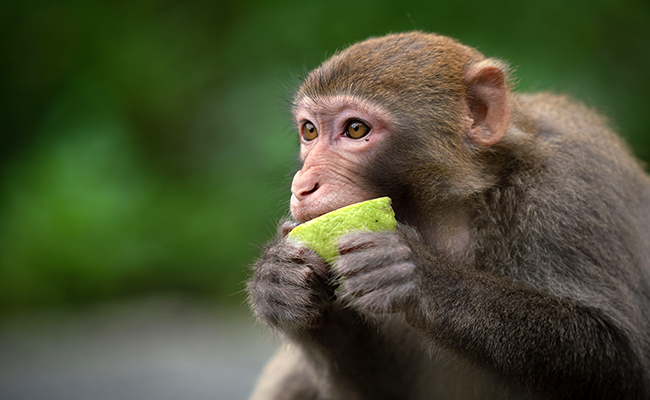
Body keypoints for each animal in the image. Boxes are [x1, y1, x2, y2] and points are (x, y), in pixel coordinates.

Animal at [244, 32, 648, 400]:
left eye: (355, 129)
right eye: (309, 130)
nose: (302, 185)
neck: (454, 212)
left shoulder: (573, 190)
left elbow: (623, 359)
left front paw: (418, 274)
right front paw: (278, 280)